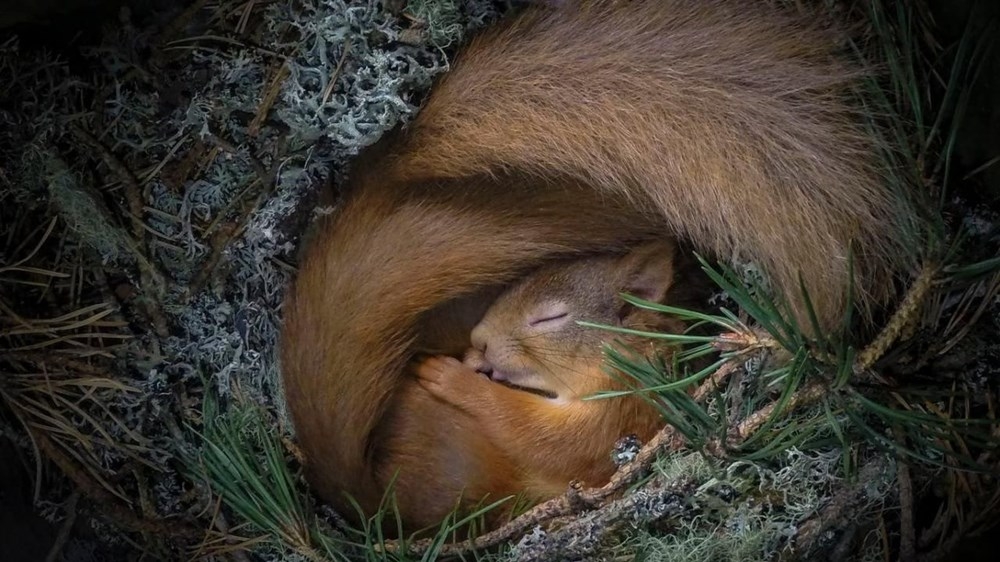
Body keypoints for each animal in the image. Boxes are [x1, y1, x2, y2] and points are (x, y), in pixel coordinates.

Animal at [280, 0, 916, 532]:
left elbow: (544, 439)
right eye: (514, 285)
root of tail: (366, 502)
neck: (628, 359)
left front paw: (452, 376)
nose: (478, 343)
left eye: (550, 317)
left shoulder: (620, 417)